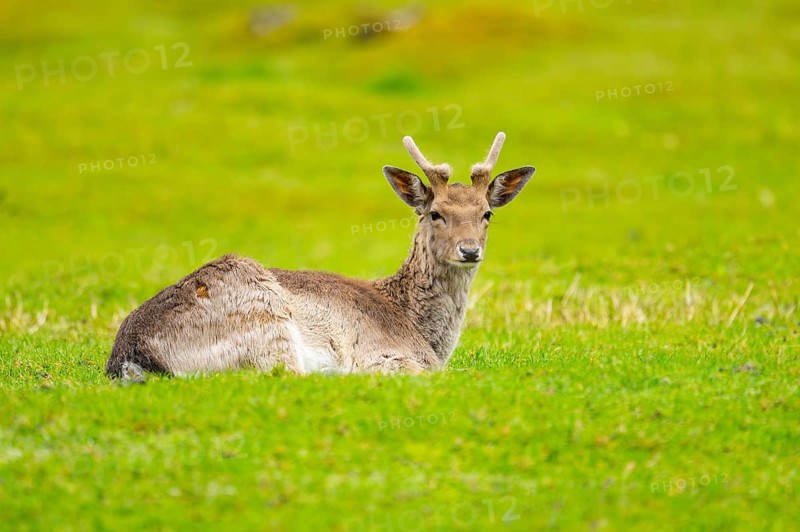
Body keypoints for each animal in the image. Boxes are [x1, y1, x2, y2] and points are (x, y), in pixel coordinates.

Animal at [105, 132, 535, 380]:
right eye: (435, 213)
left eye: (487, 213)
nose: (470, 249)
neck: (423, 334)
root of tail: (129, 358)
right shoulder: (384, 355)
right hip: (264, 318)